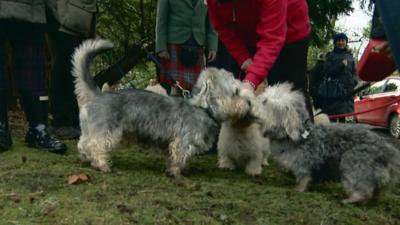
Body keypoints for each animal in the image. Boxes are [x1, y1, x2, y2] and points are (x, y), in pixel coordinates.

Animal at [72, 39, 250, 177]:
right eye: (236, 91)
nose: (248, 104)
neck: (203, 109)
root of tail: (97, 94)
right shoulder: (182, 142)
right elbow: (178, 157)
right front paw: (176, 173)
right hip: (106, 131)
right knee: (95, 145)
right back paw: (102, 165)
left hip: (89, 129)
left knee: (82, 144)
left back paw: (86, 158)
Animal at [256, 82, 400, 204]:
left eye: (265, 102)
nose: (254, 102)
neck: (297, 136)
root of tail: (386, 149)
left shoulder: (303, 165)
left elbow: (303, 179)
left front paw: (298, 189)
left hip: (353, 165)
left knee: (363, 191)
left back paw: (348, 200)